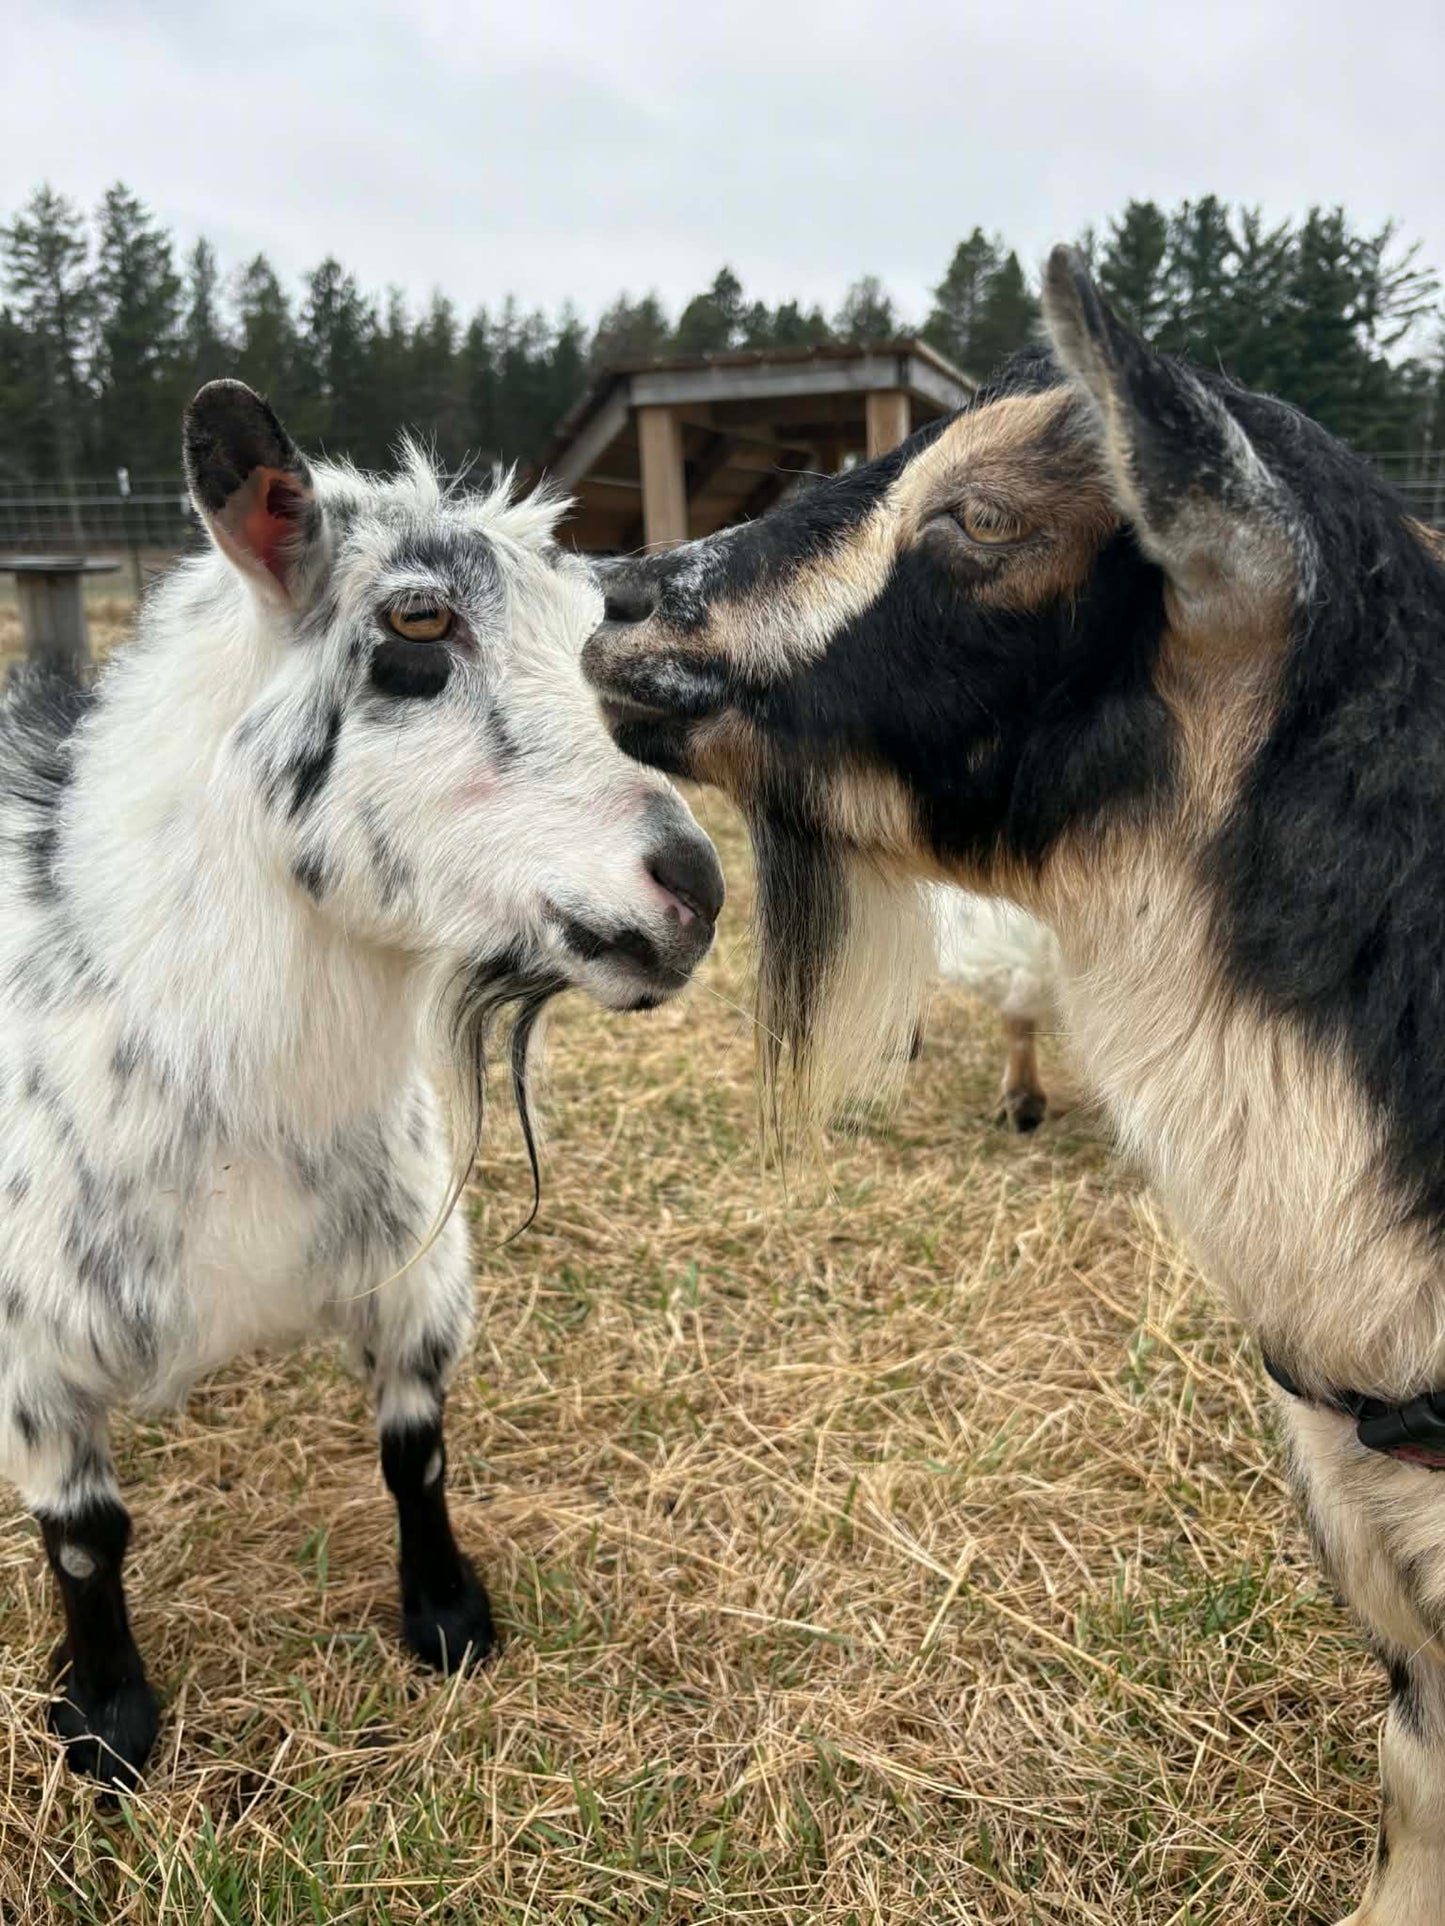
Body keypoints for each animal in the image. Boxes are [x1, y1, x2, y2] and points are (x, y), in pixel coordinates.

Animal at [0, 381, 724, 1788]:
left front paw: (446, 1619)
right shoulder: (37, 1345)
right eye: (416, 623)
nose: (694, 889)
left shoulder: (411, 1266)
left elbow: (413, 1451)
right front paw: (107, 1727)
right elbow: (85, 1539)